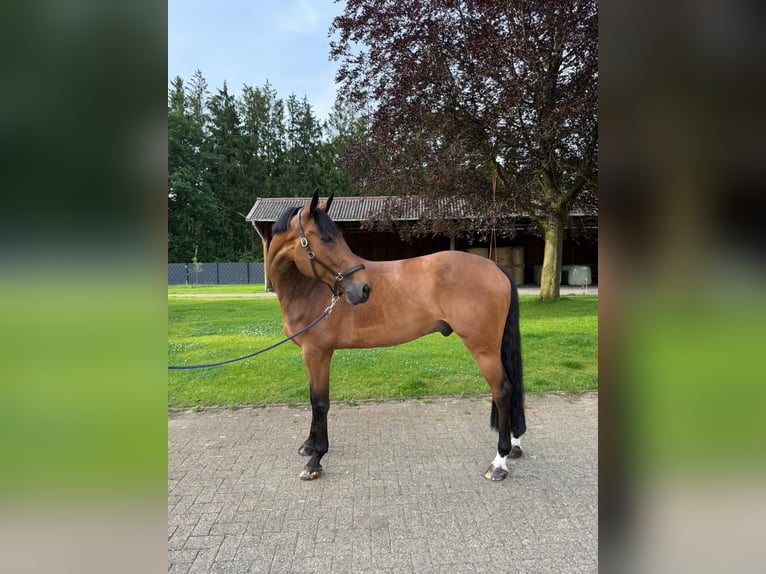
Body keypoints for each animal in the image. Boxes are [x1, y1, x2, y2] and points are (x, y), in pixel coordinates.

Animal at [267, 191, 526, 481]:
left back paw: (499, 462)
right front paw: (309, 445)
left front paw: (315, 459)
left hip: (484, 349)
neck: (308, 290)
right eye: (326, 239)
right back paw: (514, 445)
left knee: (503, 391)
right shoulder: (310, 355)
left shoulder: (318, 353)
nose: (363, 289)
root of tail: (495, 266)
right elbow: (313, 399)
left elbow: (320, 403)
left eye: (336, 237)